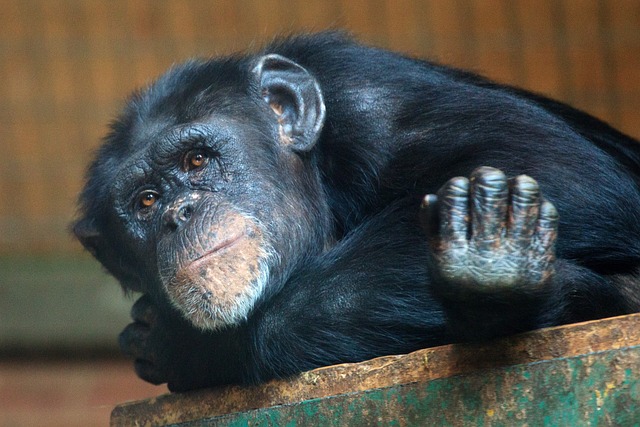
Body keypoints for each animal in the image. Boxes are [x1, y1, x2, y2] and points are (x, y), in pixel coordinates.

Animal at [74, 31, 640, 392]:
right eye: (146, 201)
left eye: (196, 159)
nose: (181, 212)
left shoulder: (372, 98)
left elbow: (553, 171)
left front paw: (187, 347)